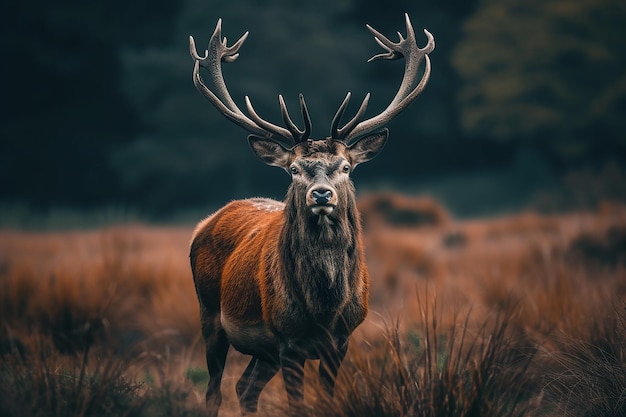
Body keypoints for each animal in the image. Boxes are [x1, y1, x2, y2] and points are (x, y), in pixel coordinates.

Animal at [188, 13, 432, 416]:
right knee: (214, 391)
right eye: (294, 170)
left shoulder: (341, 341)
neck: (324, 307)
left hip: (263, 351)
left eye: (346, 166)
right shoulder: (288, 340)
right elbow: (298, 404)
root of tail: (204, 224)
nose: (321, 193)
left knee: (245, 387)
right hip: (210, 314)